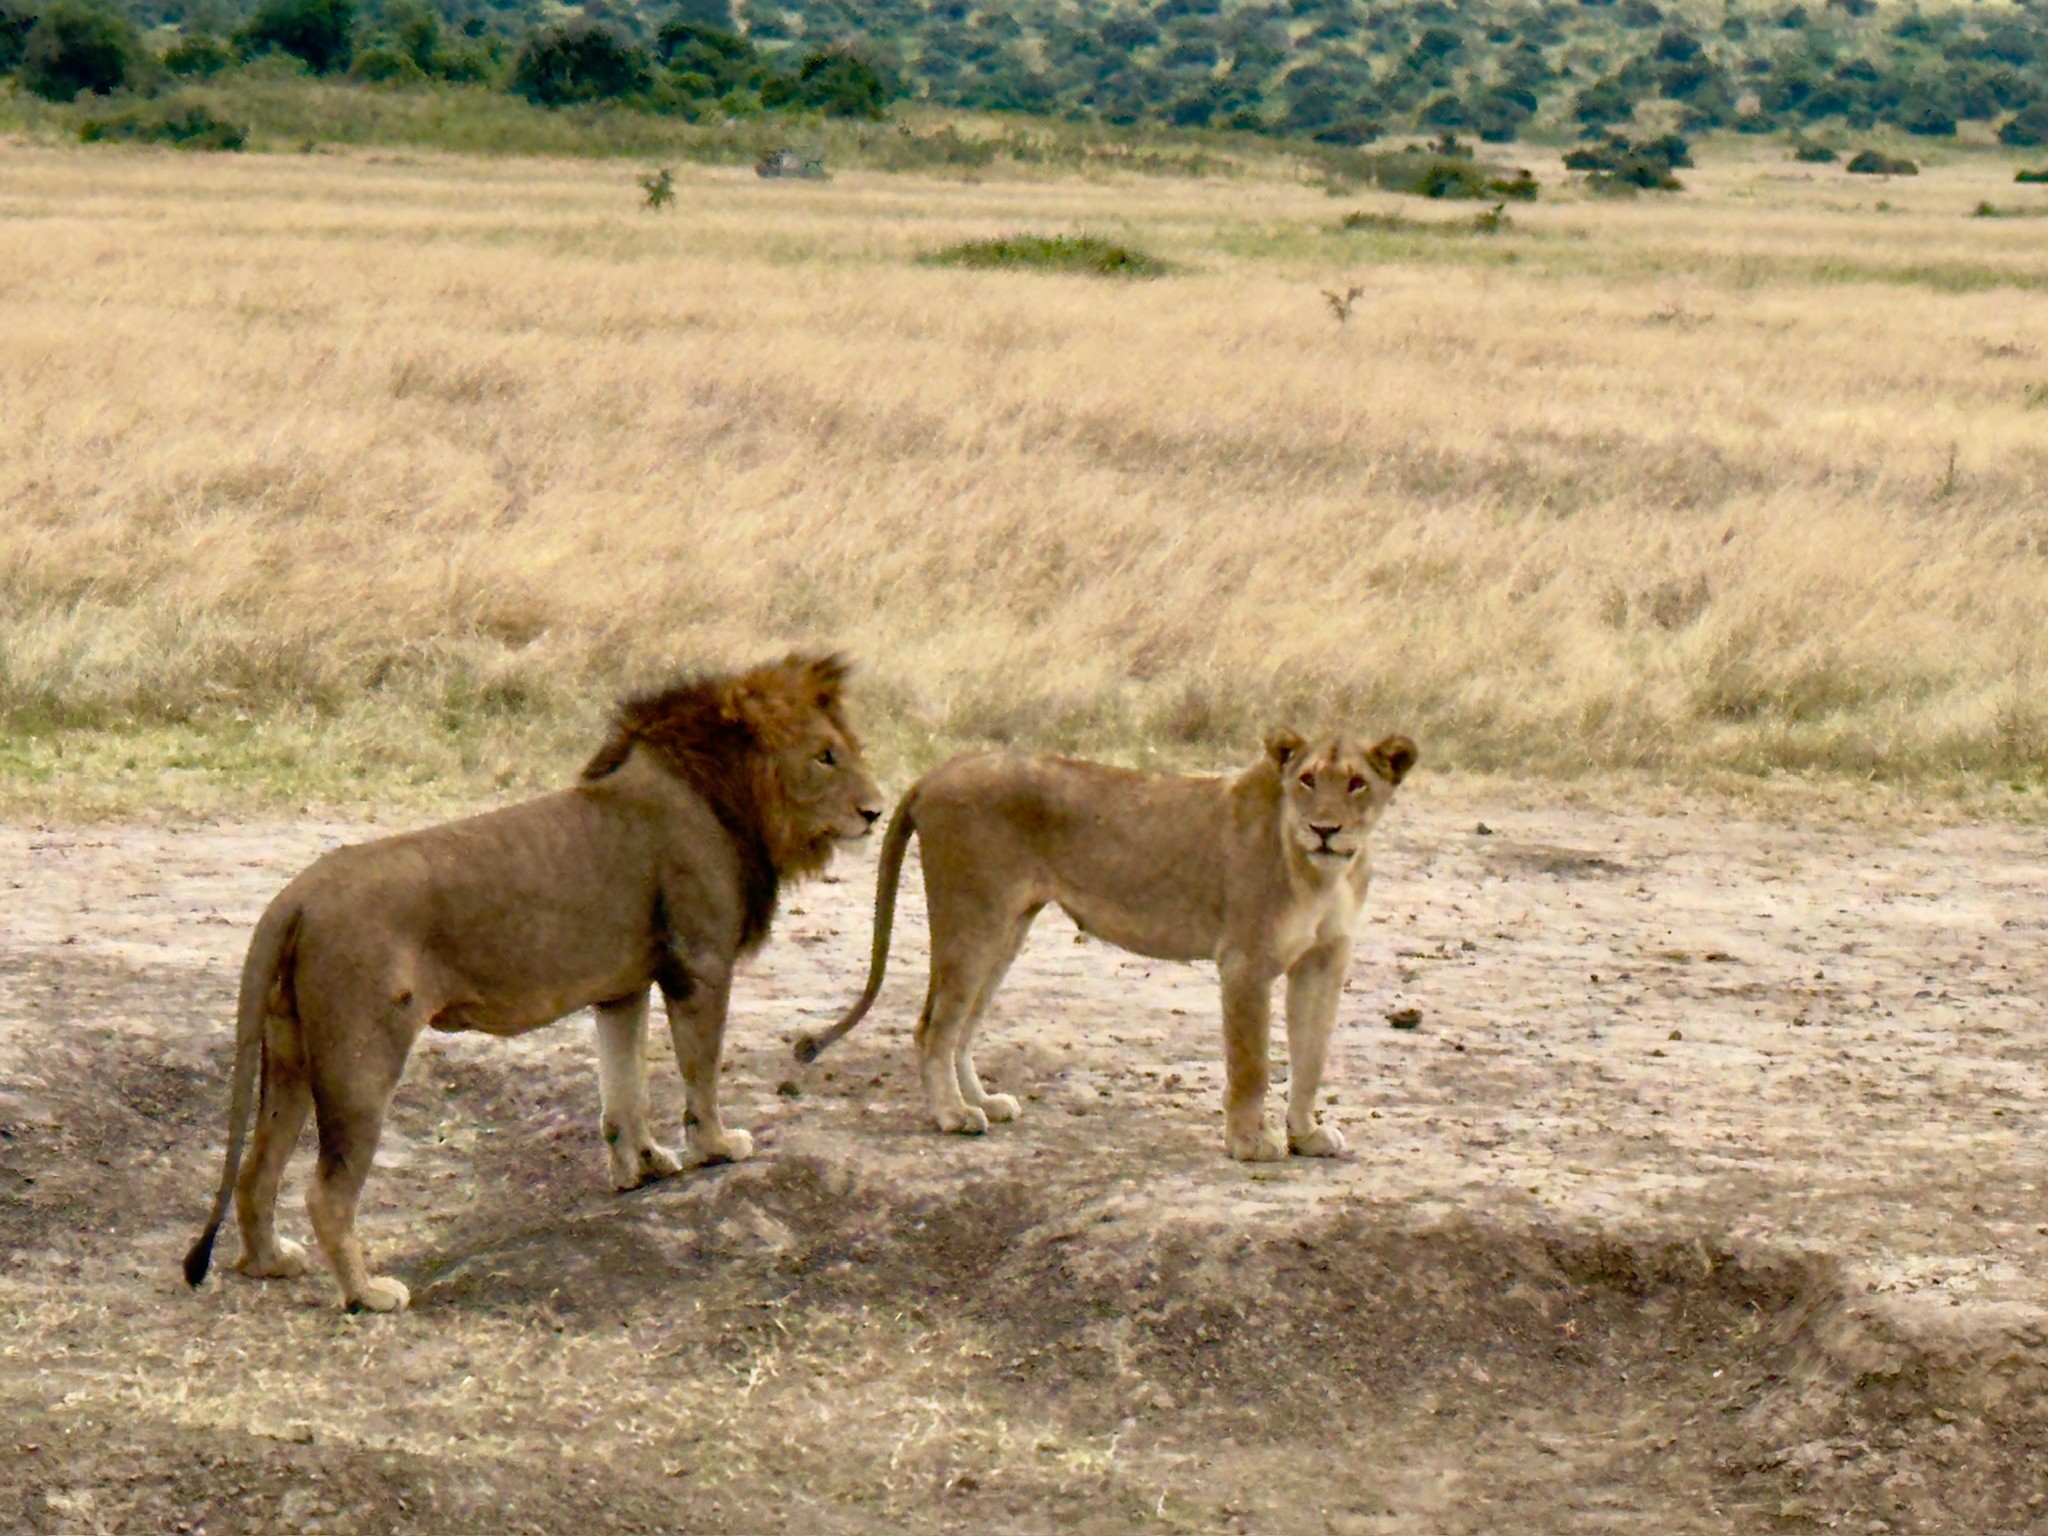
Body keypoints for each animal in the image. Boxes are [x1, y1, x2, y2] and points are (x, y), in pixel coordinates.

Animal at [183, 653, 883, 1313]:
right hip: (361, 1056)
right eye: (825, 755)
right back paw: (368, 1295)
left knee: (256, 1168)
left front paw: (642, 1166)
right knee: (325, 1190)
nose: (876, 812)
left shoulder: (623, 987)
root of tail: (296, 896)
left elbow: (624, 1085)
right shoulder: (700, 963)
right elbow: (699, 1071)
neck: (723, 795)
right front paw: (716, 1146)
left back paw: (270, 1262)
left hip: (291, 1053)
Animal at [795, 728, 1416, 1161]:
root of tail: (941, 769)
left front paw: (1307, 1134)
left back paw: (983, 1103)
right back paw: (952, 1115)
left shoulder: (1325, 961)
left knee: (963, 1026)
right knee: (932, 1027)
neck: (1323, 873)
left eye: (1357, 783)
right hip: (972, 918)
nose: (1325, 829)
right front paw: (1247, 1143)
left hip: (1007, 926)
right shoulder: (1245, 961)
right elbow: (1252, 1063)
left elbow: (1312, 1055)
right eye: (1307, 779)